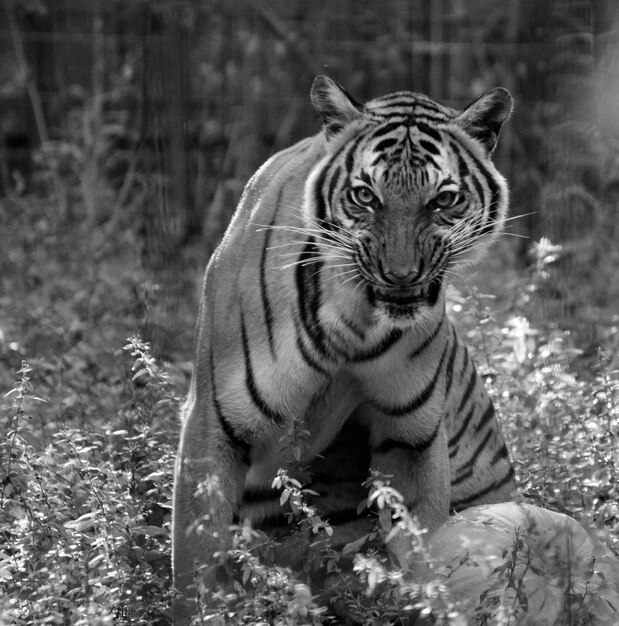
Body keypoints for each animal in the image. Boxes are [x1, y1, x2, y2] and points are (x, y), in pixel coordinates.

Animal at [172, 75, 516, 616]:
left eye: (443, 200)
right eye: (365, 196)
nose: (401, 275)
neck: (355, 320)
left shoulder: (410, 435)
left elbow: (422, 548)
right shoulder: (214, 425)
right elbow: (195, 561)